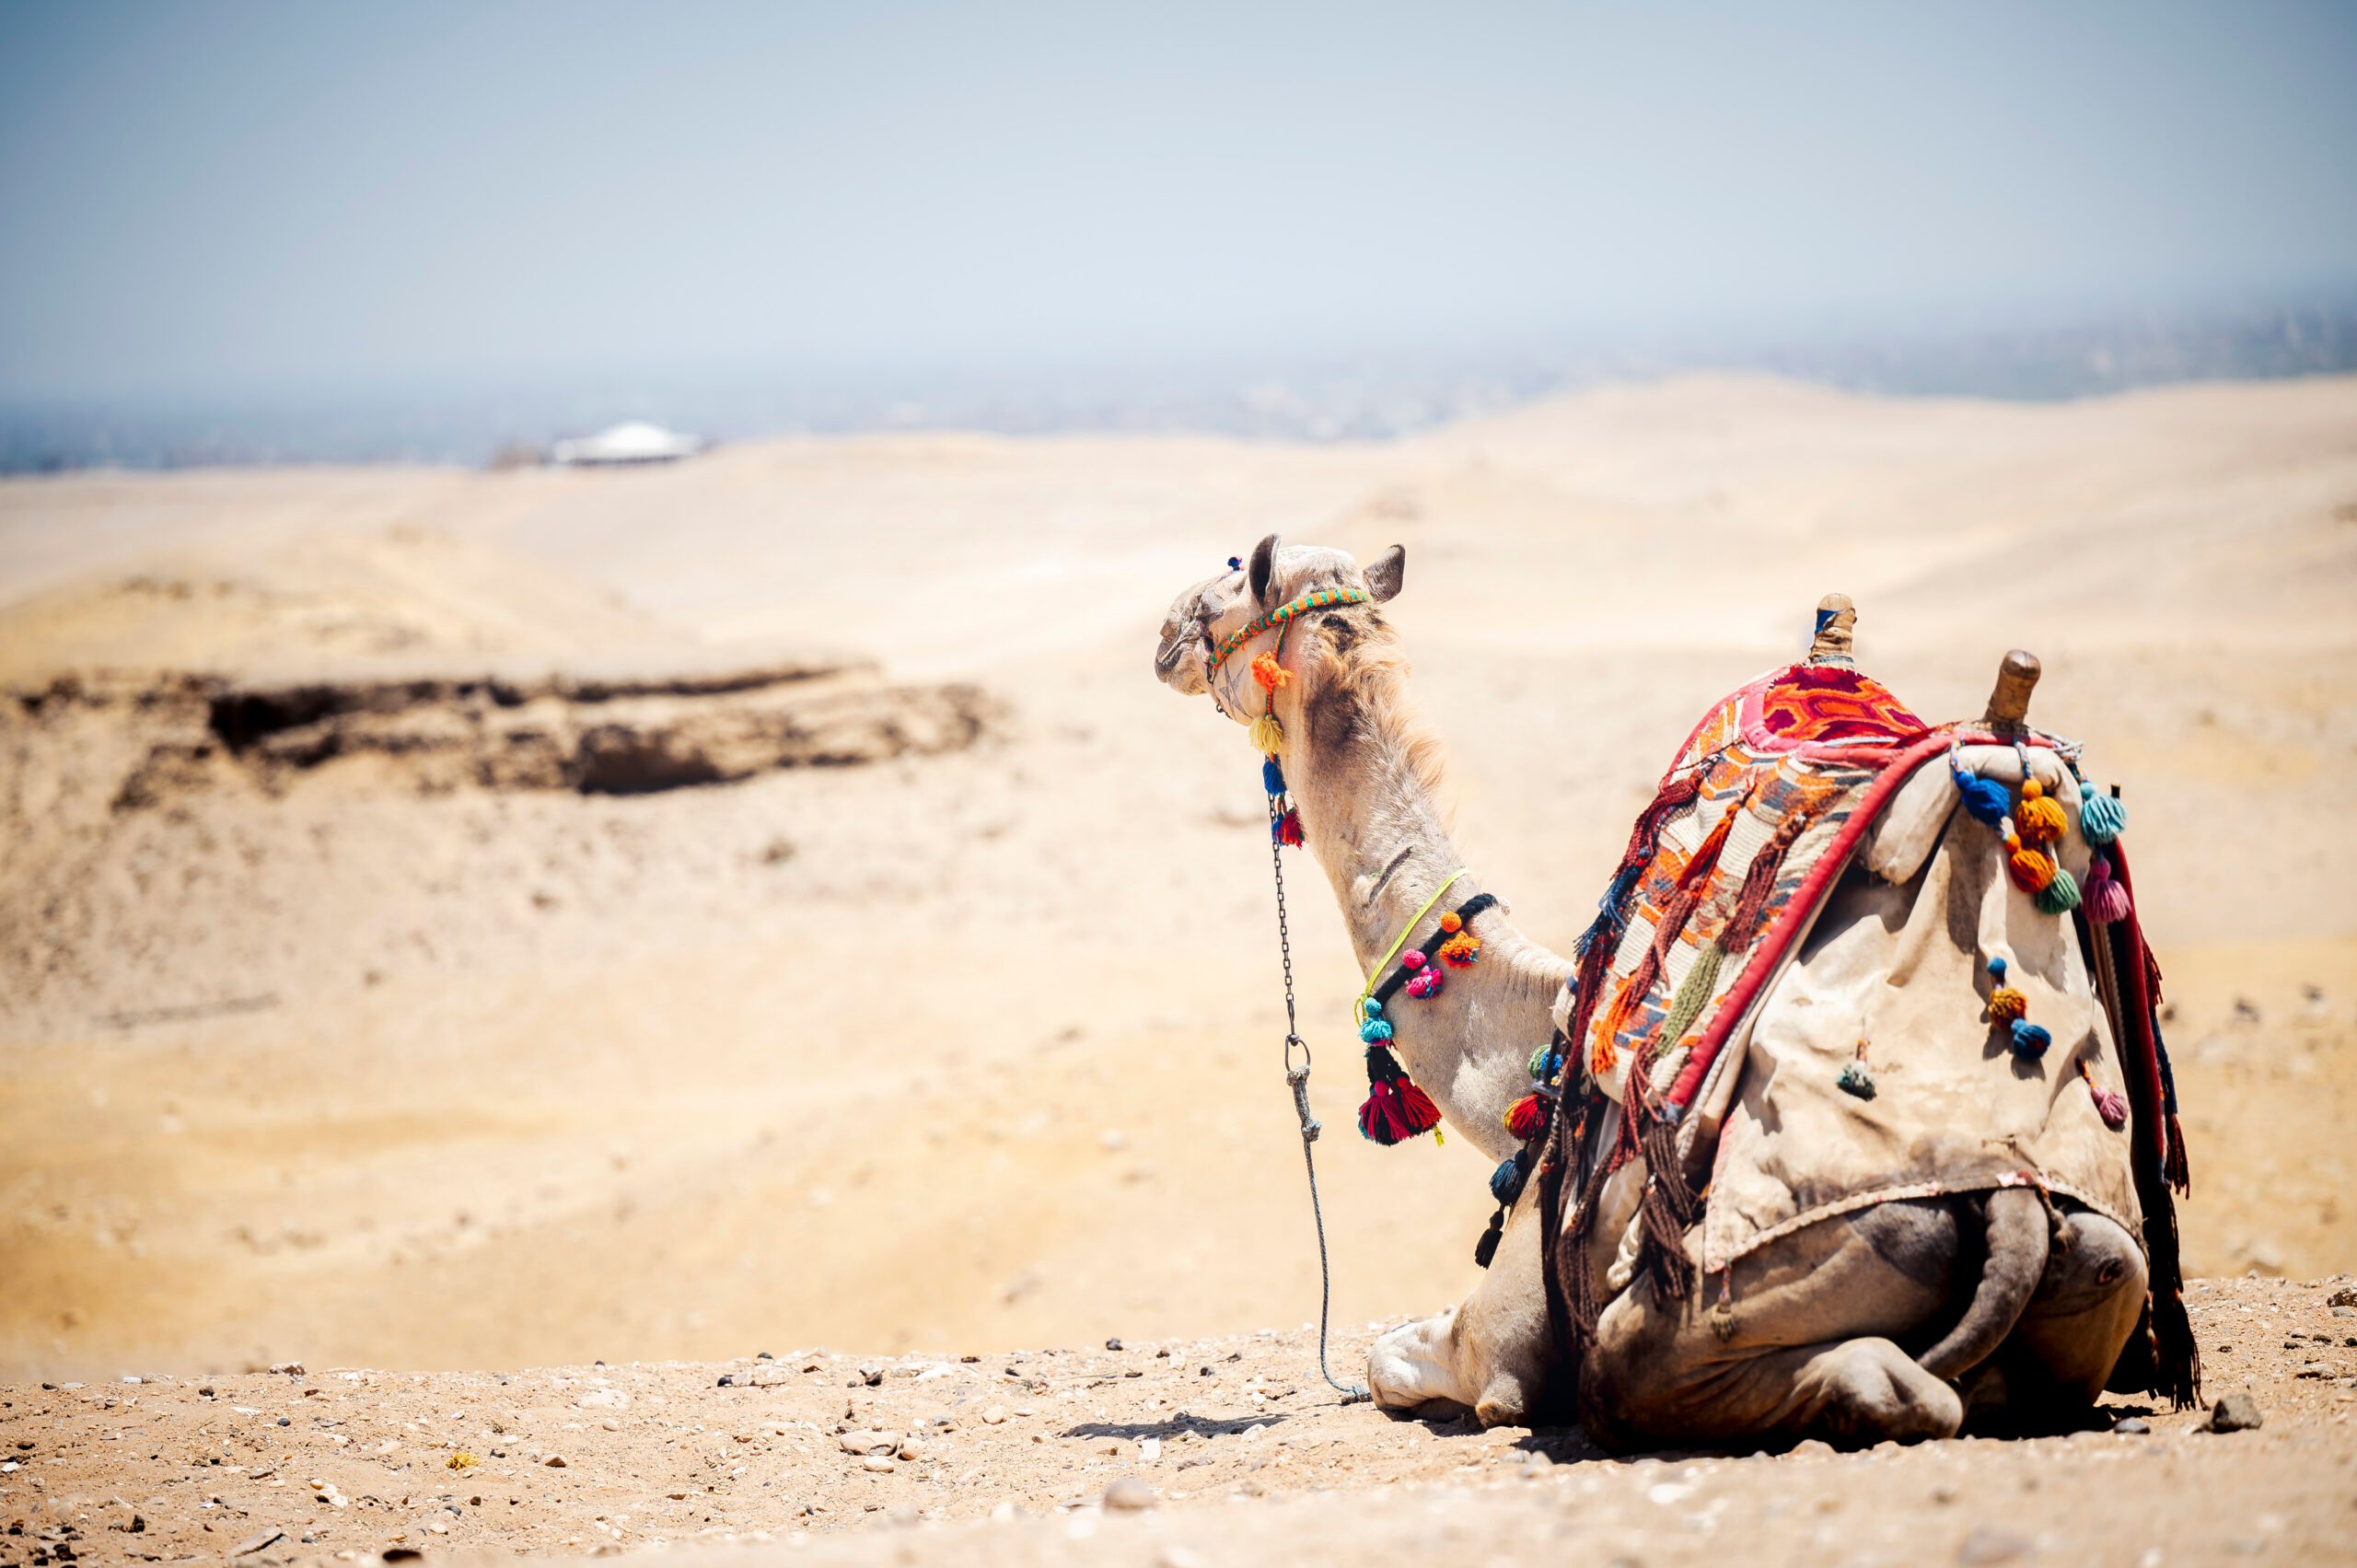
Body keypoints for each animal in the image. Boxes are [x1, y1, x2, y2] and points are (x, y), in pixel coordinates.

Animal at [1155, 536, 2161, 1449]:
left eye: (1232, 579)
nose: (1164, 628)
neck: (1528, 1050)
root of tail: (2016, 1200)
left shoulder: (1497, 1337)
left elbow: (1398, 1363)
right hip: (2111, 1265)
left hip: (1708, 1297)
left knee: (1851, 1385)